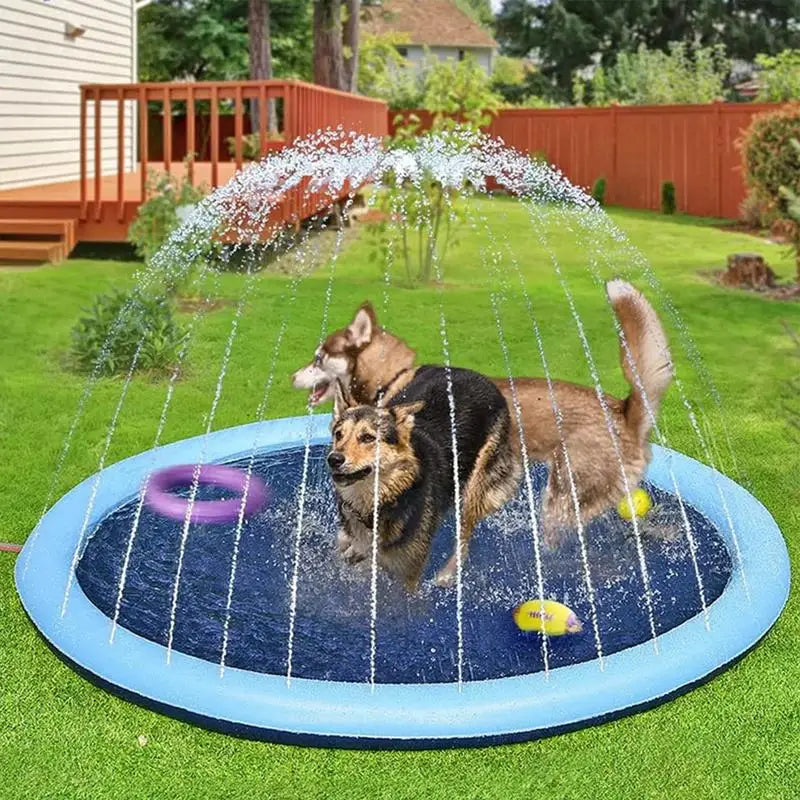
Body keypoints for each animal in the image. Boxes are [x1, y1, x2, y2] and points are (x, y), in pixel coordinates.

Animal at [328, 366, 520, 592]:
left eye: (367, 438)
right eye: (339, 434)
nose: (334, 459)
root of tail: (477, 374)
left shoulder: (409, 572)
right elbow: (347, 541)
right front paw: (353, 550)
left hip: (477, 482)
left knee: (465, 534)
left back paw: (446, 575)